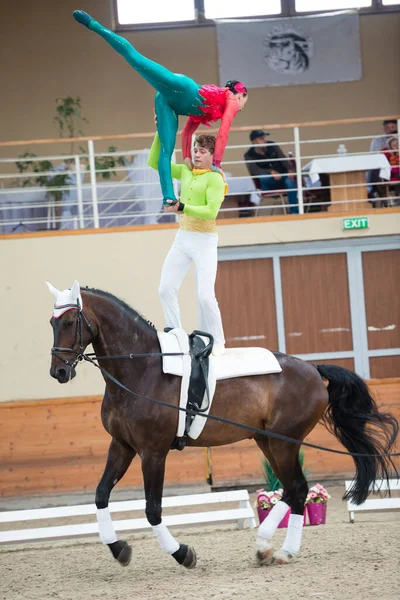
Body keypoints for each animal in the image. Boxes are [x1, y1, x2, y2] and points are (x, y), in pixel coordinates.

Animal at [47, 284, 396, 568]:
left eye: (69, 322)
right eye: (52, 322)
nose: (58, 373)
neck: (140, 369)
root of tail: (313, 368)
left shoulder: (152, 452)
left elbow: (152, 509)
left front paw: (183, 554)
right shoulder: (122, 446)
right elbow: (101, 494)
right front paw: (119, 548)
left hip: (284, 441)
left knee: (297, 488)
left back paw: (281, 551)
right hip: (266, 441)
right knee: (292, 490)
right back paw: (267, 549)